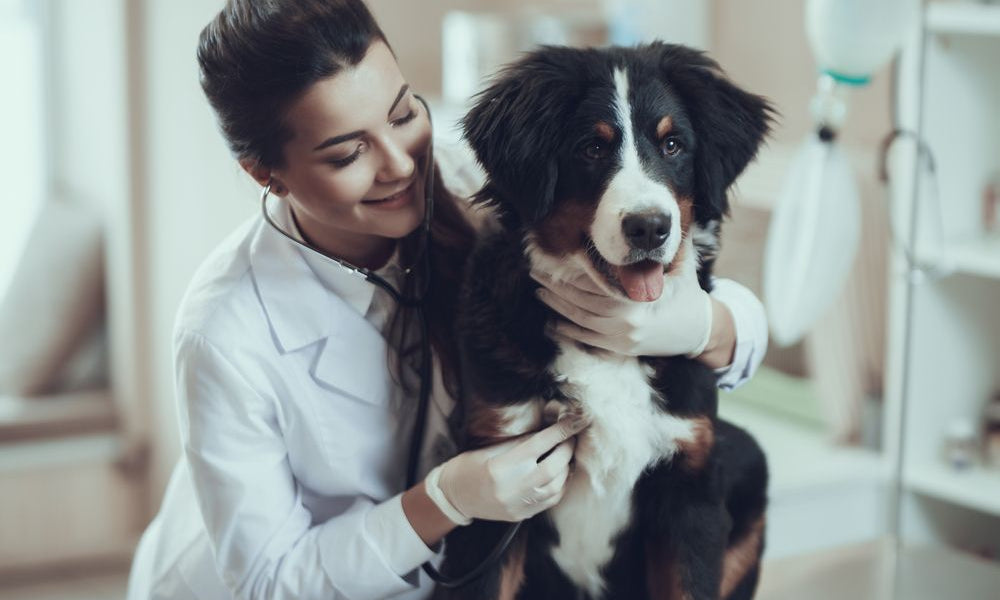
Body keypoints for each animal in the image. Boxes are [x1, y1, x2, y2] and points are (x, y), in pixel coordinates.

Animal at [442, 43, 776, 600]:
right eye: (591, 149)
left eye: (672, 145)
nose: (649, 226)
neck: (609, 348)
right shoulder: (496, 483)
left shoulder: (691, 489)